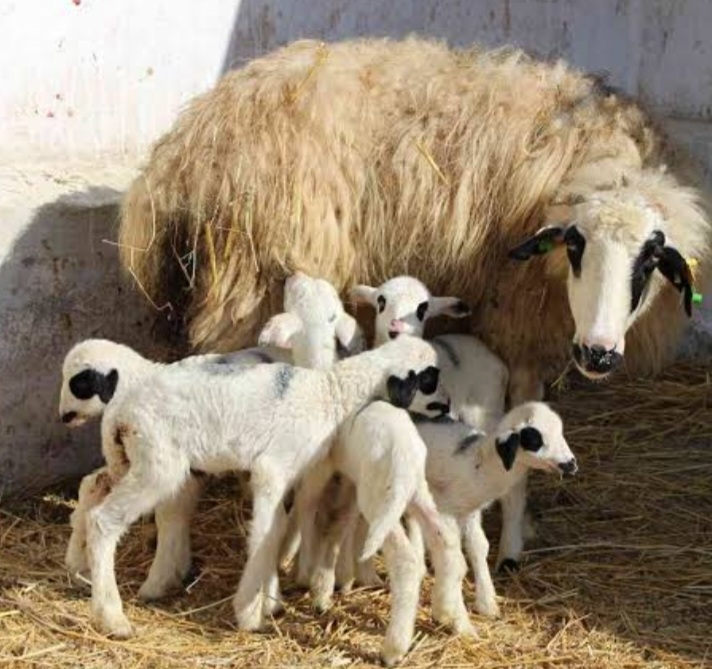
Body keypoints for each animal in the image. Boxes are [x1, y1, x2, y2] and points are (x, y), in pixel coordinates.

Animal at [86, 332, 448, 640]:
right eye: (429, 379)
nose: (447, 408)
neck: (330, 393)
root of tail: (119, 412)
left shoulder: (283, 474)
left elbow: (277, 528)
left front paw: (269, 602)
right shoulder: (272, 468)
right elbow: (266, 534)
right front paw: (249, 612)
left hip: (129, 460)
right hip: (157, 463)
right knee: (102, 521)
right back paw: (113, 619)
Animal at [122, 36, 712, 400]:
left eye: (650, 260)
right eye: (575, 245)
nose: (599, 353)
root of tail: (186, 149)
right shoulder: (513, 312)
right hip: (255, 278)